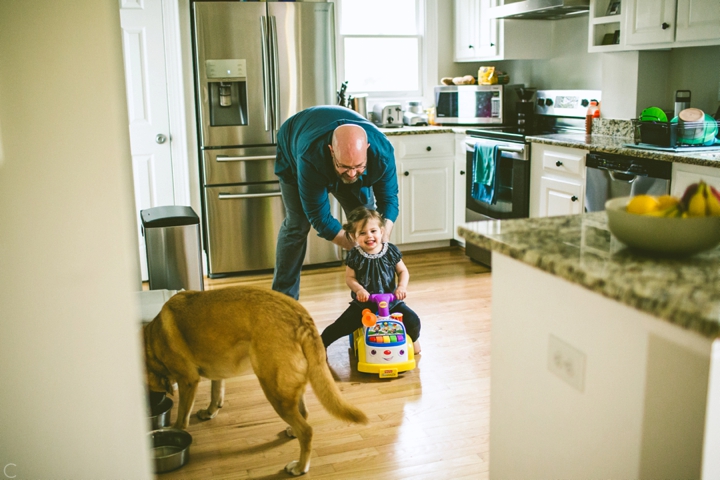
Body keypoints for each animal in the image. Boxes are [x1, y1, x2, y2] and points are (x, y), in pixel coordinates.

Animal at [142, 284, 366, 476]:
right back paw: (292, 432)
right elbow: (216, 393)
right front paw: (210, 411)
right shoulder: (215, 371)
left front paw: (175, 430)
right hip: (285, 387)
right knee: (303, 413)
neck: (151, 341)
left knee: (307, 431)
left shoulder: (187, 380)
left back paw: (300, 467)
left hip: (274, 390)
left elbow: (181, 417)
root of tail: (302, 318)